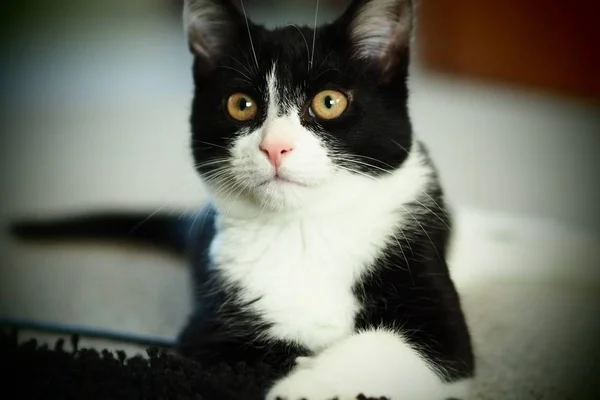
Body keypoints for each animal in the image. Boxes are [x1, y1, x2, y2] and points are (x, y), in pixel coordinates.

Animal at [9, 0, 476, 396]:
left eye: (329, 102)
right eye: (241, 104)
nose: (275, 147)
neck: (303, 230)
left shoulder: (429, 292)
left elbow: (416, 346)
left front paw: (304, 387)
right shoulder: (206, 335)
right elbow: (242, 362)